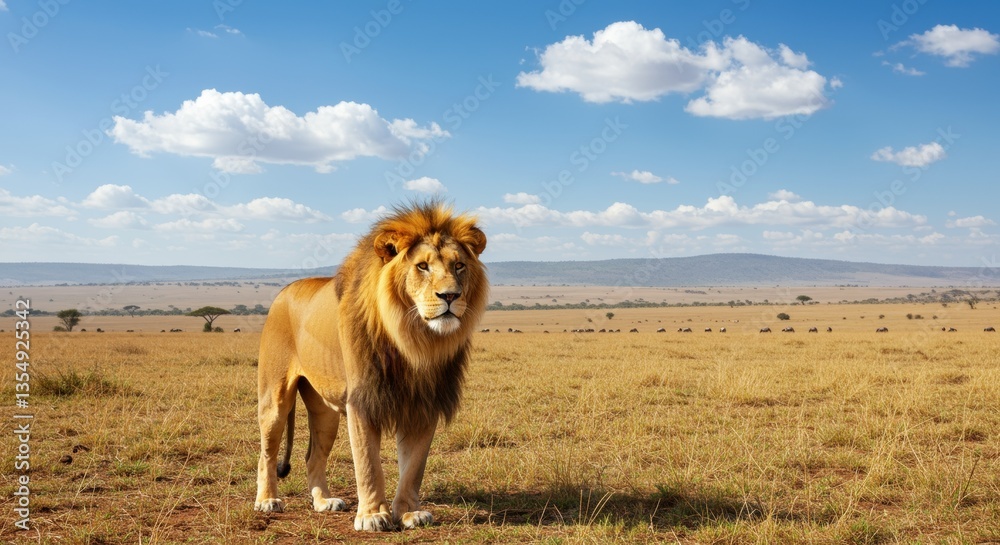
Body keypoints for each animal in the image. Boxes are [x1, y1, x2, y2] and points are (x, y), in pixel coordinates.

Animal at [253, 202, 488, 531]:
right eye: (422, 266)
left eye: (459, 266)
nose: (450, 296)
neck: (414, 341)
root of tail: (284, 290)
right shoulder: (363, 400)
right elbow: (368, 463)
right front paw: (373, 515)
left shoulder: (424, 403)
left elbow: (414, 467)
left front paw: (409, 513)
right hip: (275, 397)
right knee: (267, 452)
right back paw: (267, 500)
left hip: (325, 411)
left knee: (313, 456)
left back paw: (324, 501)